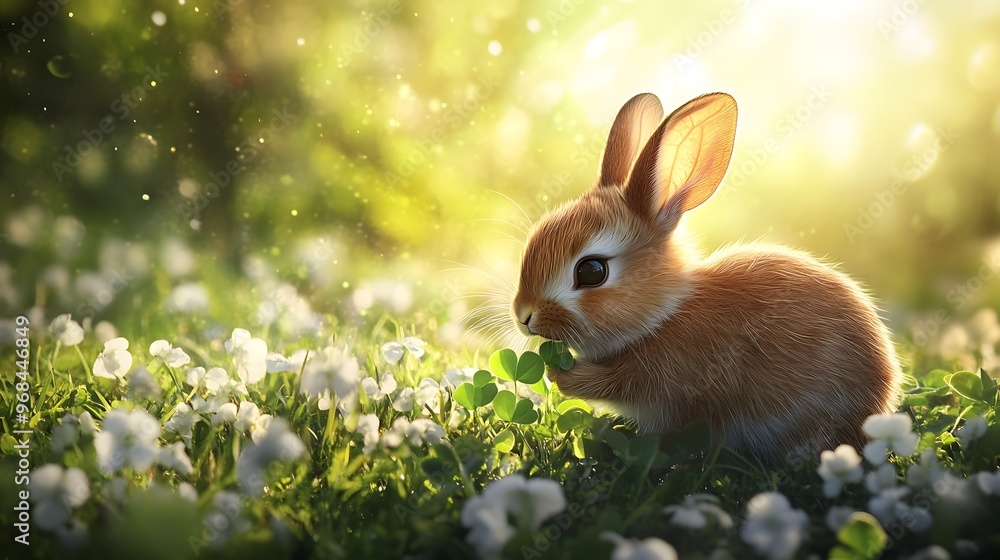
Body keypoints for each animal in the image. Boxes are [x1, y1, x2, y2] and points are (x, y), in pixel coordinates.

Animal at [511, 92, 901, 462]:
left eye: (592, 271)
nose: (524, 316)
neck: (664, 317)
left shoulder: (664, 381)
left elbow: (609, 384)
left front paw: (561, 375)